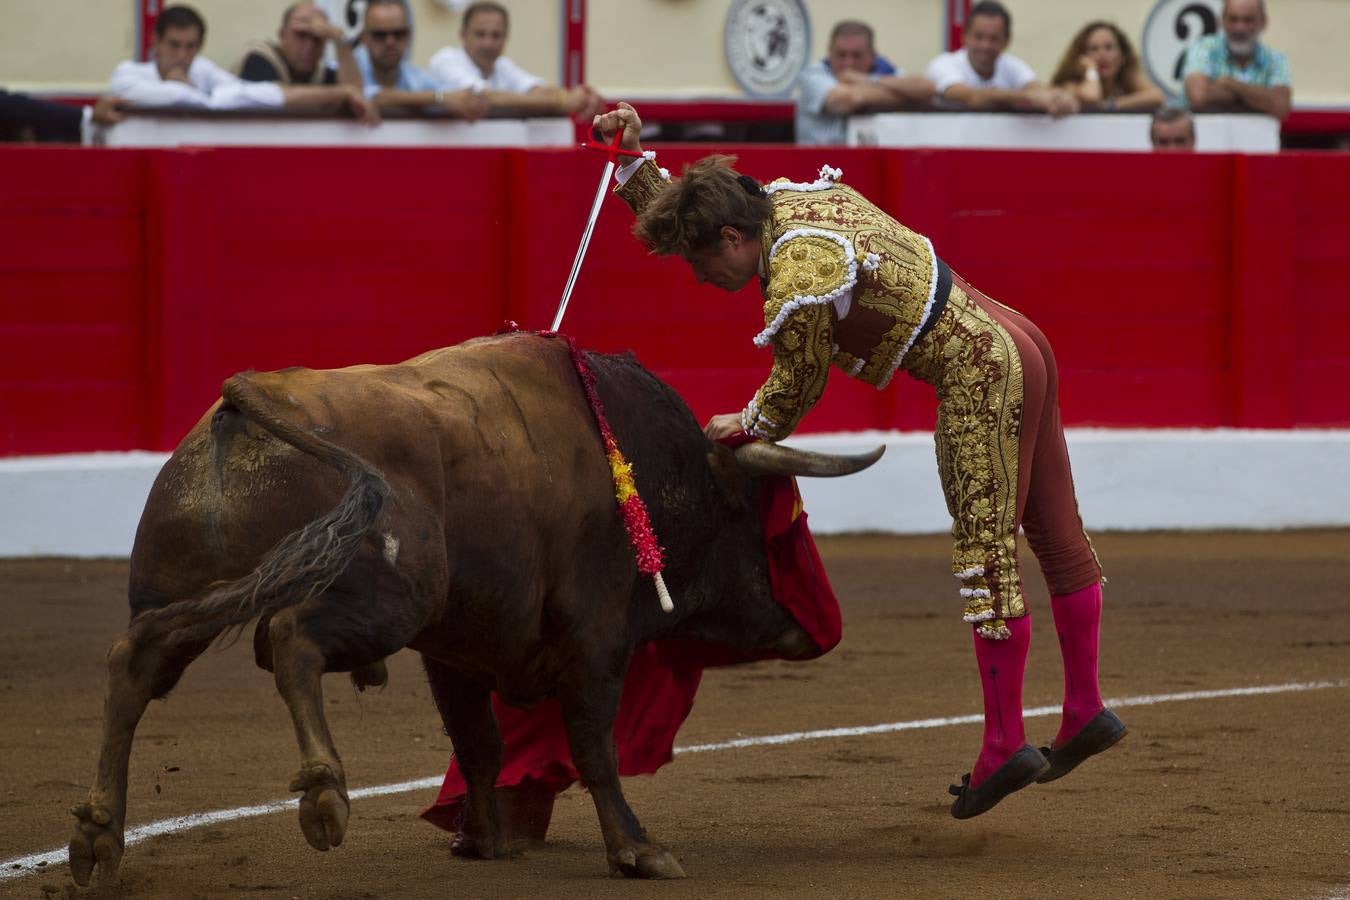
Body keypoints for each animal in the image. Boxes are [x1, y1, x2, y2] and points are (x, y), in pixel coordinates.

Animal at [68, 334, 880, 885]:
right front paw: (636, 849)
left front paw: (483, 841)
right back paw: (325, 796)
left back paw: (99, 834)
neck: (649, 470)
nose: (810, 628)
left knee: (133, 666)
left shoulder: (451, 651)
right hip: (391, 598)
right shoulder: (596, 638)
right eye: (762, 523)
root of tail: (245, 398)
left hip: (182, 596)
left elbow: (479, 744)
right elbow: (593, 744)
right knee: (293, 639)